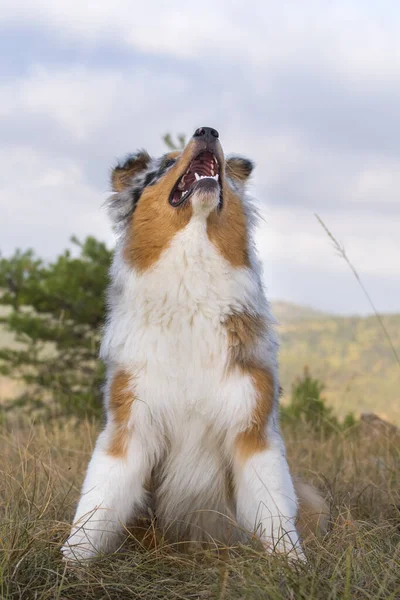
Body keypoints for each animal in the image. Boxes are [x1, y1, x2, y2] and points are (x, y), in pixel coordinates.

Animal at [61, 126, 326, 564]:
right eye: (167, 164)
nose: (207, 130)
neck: (192, 283)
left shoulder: (252, 426)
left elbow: (273, 510)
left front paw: (292, 565)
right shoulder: (130, 422)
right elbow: (97, 503)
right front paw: (70, 562)